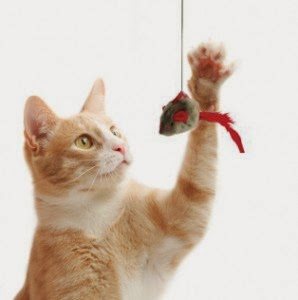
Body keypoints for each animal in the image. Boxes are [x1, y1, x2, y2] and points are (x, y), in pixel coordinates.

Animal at [15, 42, 233, 300]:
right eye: (84, 142)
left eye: (114, 131)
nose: (120, 147)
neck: (99, 216)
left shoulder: (184, 215)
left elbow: (198, 178)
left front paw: (206, 82)